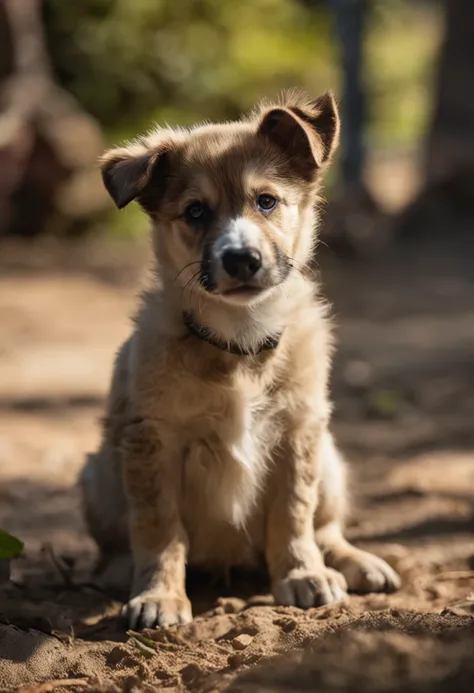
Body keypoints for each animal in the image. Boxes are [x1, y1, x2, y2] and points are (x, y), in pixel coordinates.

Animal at [81, 93, 400, 632]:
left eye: (266, 201)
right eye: (195, 211)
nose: (242, 259)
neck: (240, 340)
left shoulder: (299, 431)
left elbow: (293, 513)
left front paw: (301, 574)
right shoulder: (152, 440)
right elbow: (158, 527)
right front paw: (159, 595)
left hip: (331, 458)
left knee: (327, 528)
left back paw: (353, 563)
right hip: (99, 473)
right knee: (117, 541)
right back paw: (118, 570)